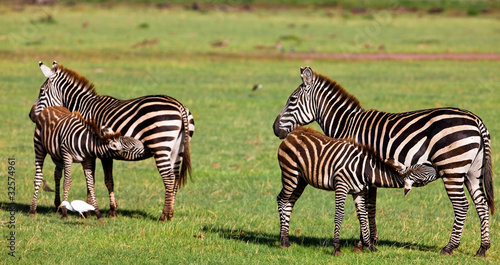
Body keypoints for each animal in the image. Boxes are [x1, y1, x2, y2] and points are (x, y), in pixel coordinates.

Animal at [28, 60, 194, 220]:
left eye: (41, 91)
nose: (30, 115)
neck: (83, 106)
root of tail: (179, 106)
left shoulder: (91, 149)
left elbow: (93, 180)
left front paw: (89, 211)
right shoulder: (104, 153)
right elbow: (107, 180)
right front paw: (110, 210)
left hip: (160, 146)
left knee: (169, 178)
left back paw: (164, 216)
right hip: (176, 150)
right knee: (175, 178)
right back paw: (170, 213)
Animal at [278, 127, 438, 255]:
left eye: (423, 166)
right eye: (425, 172)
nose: (437, 167)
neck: (364, 169)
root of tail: (293, 133)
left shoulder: (359, 191)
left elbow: (362, 216)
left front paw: (369, 246)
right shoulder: (341, 186)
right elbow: (339, 215)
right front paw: (336, 248)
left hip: (301, 180)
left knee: (290, 202)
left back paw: (285, 238)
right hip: (290, 174)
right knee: (282, 200)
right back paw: (283, 240)